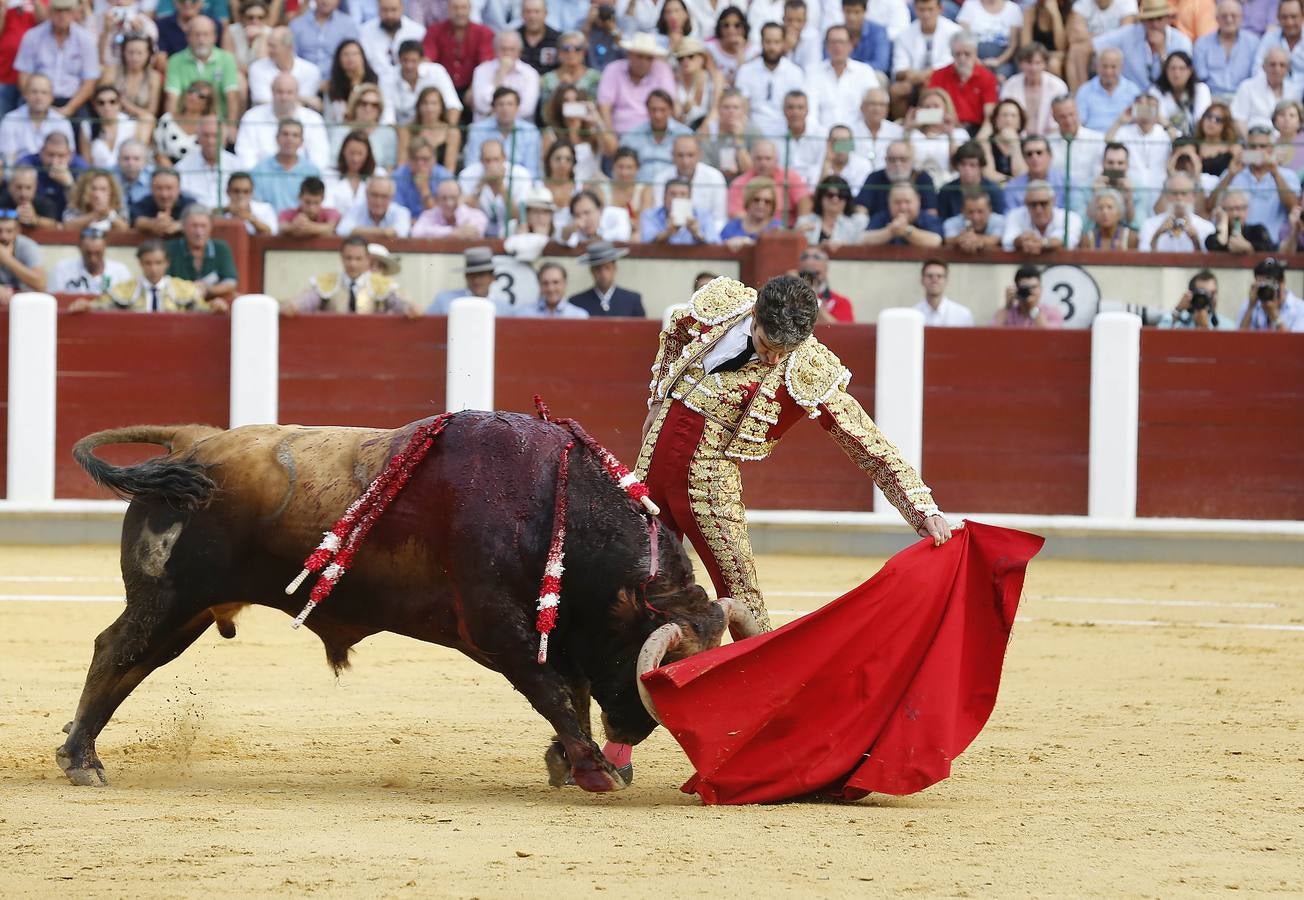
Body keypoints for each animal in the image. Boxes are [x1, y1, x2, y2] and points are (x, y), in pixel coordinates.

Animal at [58, 409, 756, 787]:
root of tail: (192, 441)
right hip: (169, 597)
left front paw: (572, 759)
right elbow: (554, 690)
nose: (635, 732)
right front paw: (591, 768)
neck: (553, 506)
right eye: (660, 664)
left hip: (190, 609)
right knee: (116, 652)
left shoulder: (547, 628)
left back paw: (80, 748)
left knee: (130, 662)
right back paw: (80, 758)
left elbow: (572, 687)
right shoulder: (496, 628)